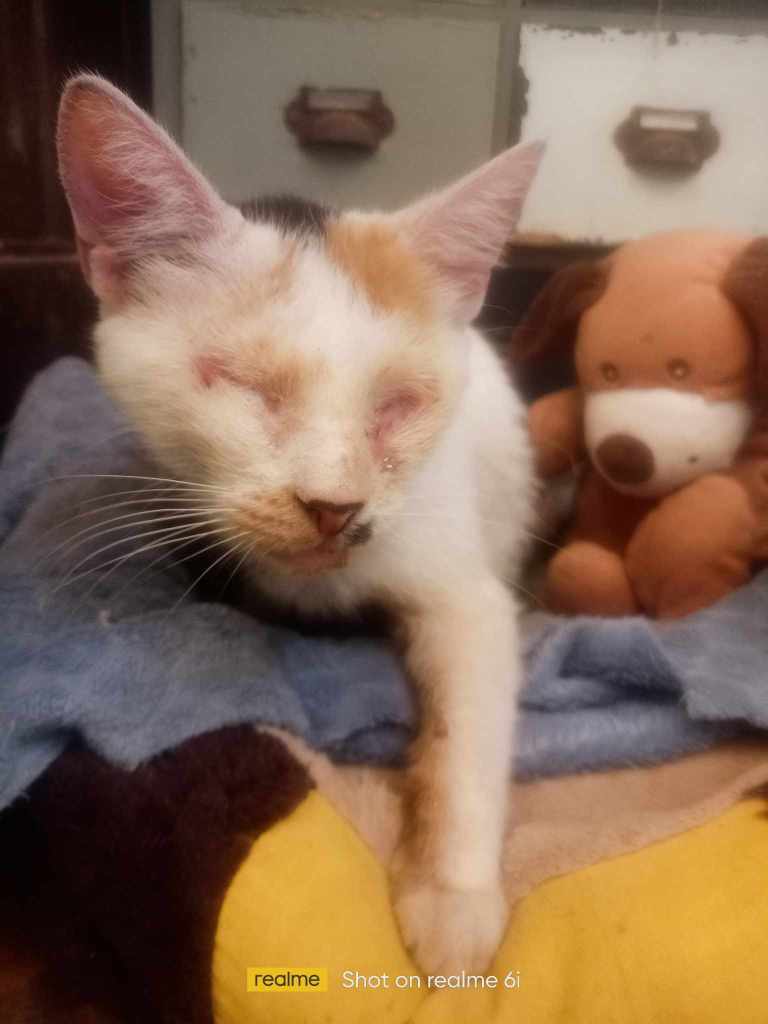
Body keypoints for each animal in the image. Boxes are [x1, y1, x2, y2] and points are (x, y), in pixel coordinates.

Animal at [56, 74, 543, 974]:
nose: (333, 505)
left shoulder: (462, 583)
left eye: (400, 405)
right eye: (246, 387)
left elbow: (469, 717)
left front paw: (452, 894)